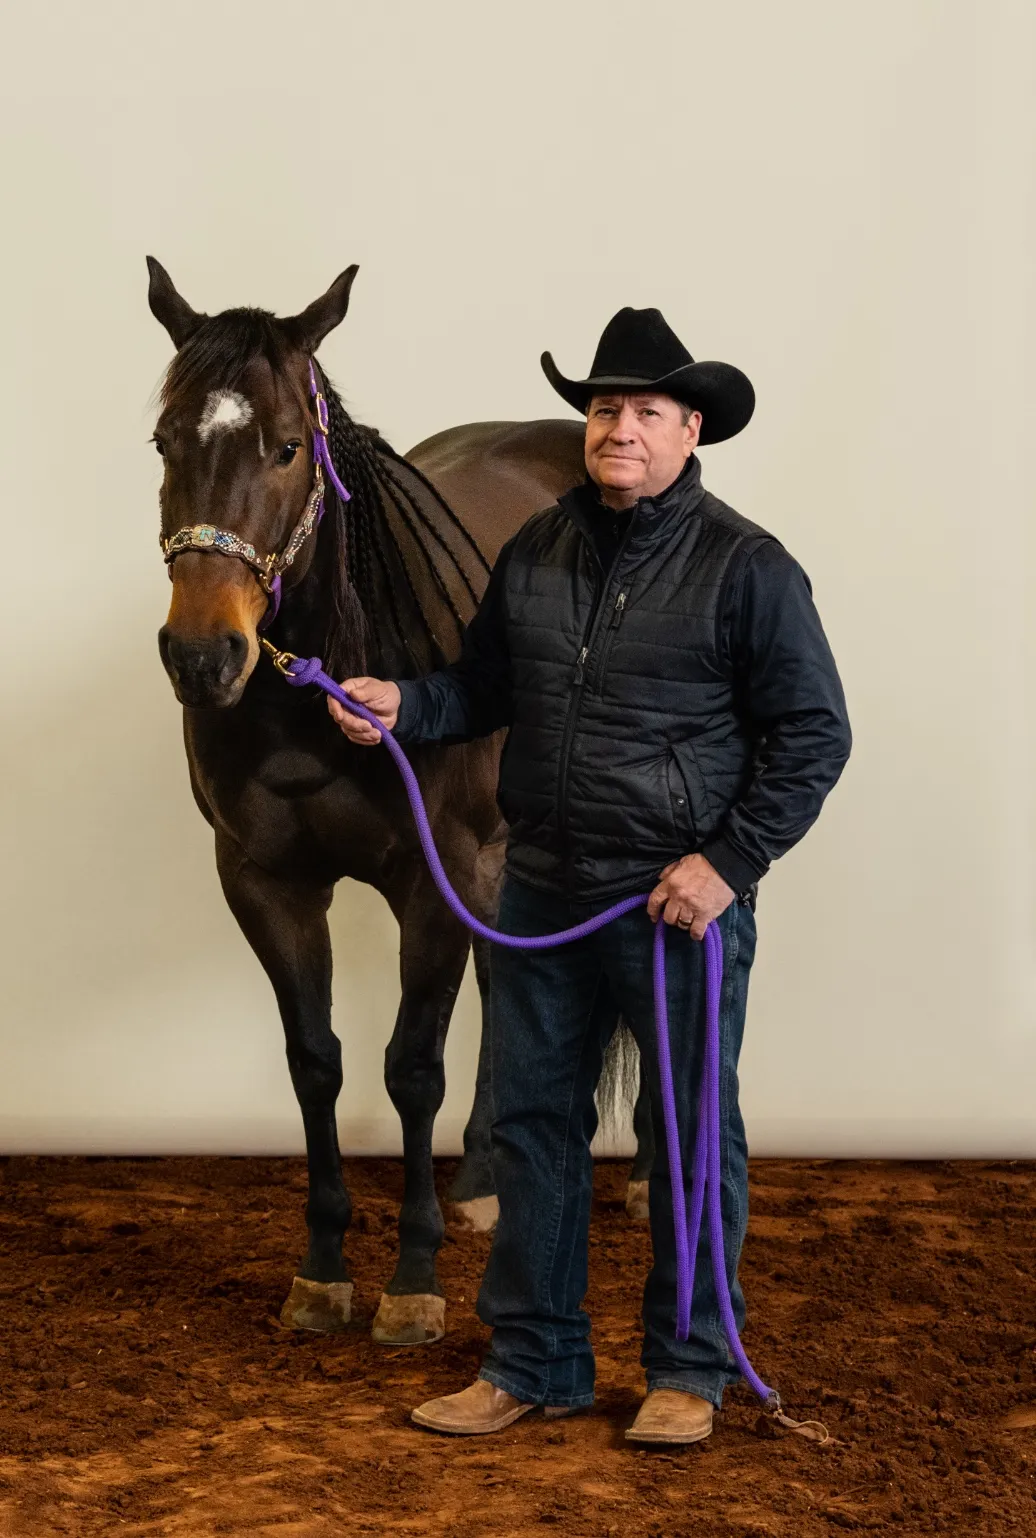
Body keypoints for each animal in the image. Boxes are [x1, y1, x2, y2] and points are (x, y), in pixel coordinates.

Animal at [147, 264, 645, 1347]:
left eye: (288, 445)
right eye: (164, 440)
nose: (202, 656)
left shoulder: (433, 874)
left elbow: (411, 1066)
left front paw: (413, 1279)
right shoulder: (265, 881)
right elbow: (316, 1061)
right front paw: (323, 1267)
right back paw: (490, 1178)